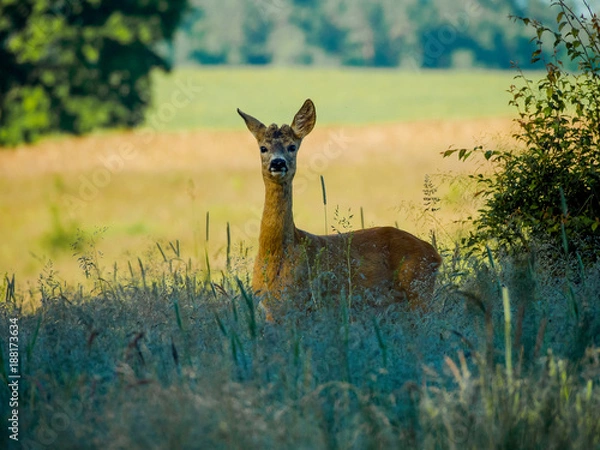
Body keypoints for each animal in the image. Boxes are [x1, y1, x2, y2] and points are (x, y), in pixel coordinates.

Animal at [238, 100, 440, 322]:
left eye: (292, 146)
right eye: (263, 148)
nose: (278, 162)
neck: (276, 257)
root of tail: (434, 254)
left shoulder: (299, 302)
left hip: (418, 291)